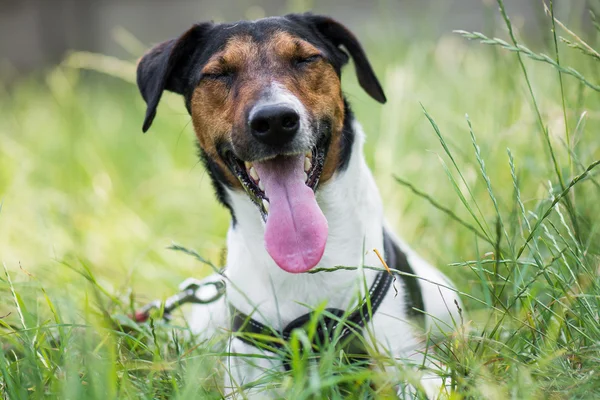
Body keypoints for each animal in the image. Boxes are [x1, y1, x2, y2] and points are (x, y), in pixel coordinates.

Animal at [137, 12, 464, 396]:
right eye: (218, 73)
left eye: (306, 59)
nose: (275, 121)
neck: (306, 266)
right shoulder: (251, 380)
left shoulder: (417, 364)